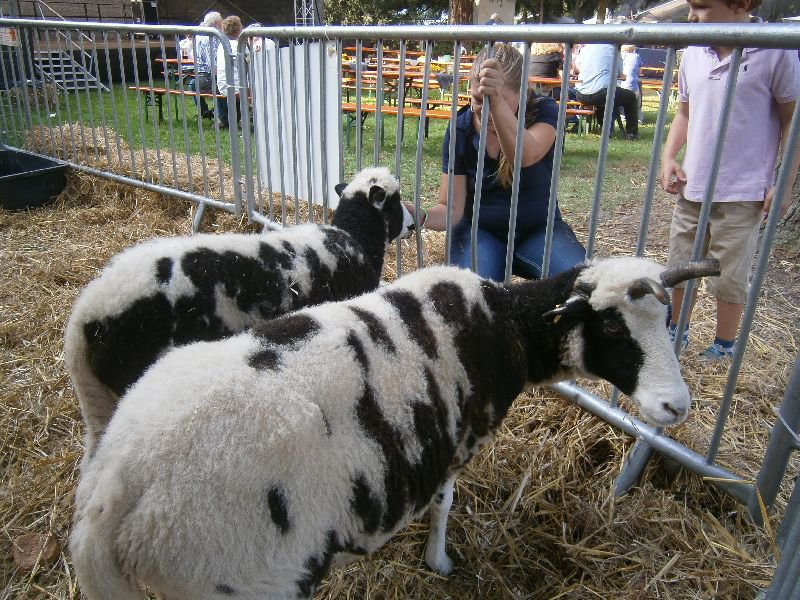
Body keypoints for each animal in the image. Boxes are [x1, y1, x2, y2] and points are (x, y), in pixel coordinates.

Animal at [70, 255, 720, 600]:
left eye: (667, 319)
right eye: (610, 327)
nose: (677, 407)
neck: (504, 325)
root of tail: (115, 489)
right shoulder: (458, 443)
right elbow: (444, 503)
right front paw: (439, 560)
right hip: (236, 576)